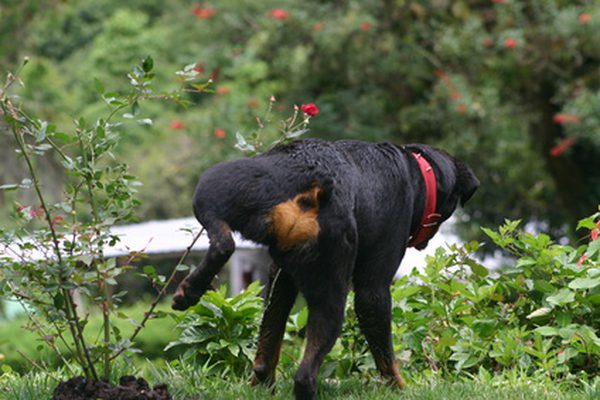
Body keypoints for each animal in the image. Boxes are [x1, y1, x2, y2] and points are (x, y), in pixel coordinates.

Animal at [172, 138, 478, 400]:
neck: (417, 173)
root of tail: (315, 185)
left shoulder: (281, 275)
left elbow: (269, 337)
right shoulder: (374, 287)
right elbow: (385, 355)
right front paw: (400, 389)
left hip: (216, 184)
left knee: (223, 241)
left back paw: (190, 291)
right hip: (333, 282)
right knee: (305, 375)